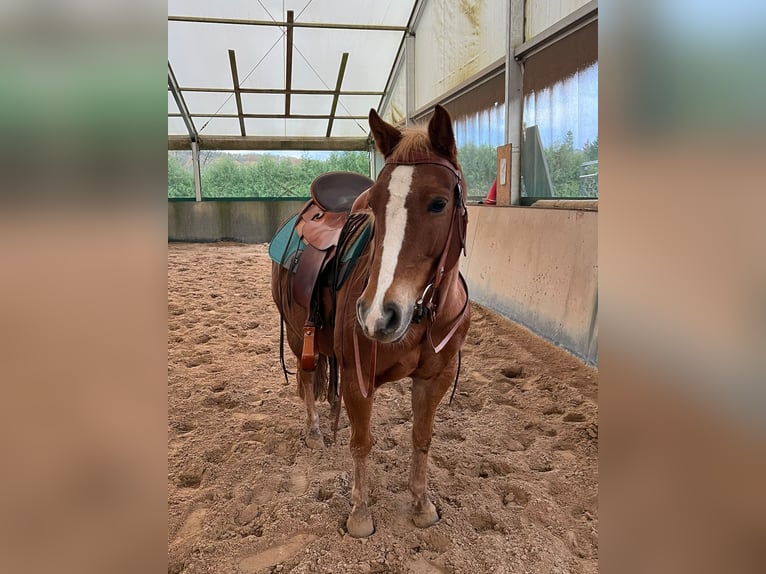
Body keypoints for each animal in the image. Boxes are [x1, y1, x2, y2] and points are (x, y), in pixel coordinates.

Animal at [271, 104, 471, 537]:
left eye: (438, 203)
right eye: (374, 206)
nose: (379, 313)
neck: (421, 316)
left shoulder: (436, 377)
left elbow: (422, 437)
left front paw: (422, 505)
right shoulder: (358, 378)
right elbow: (361, 443)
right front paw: (360, 514)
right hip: (296, 333)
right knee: (307, 379)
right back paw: (314, 431)